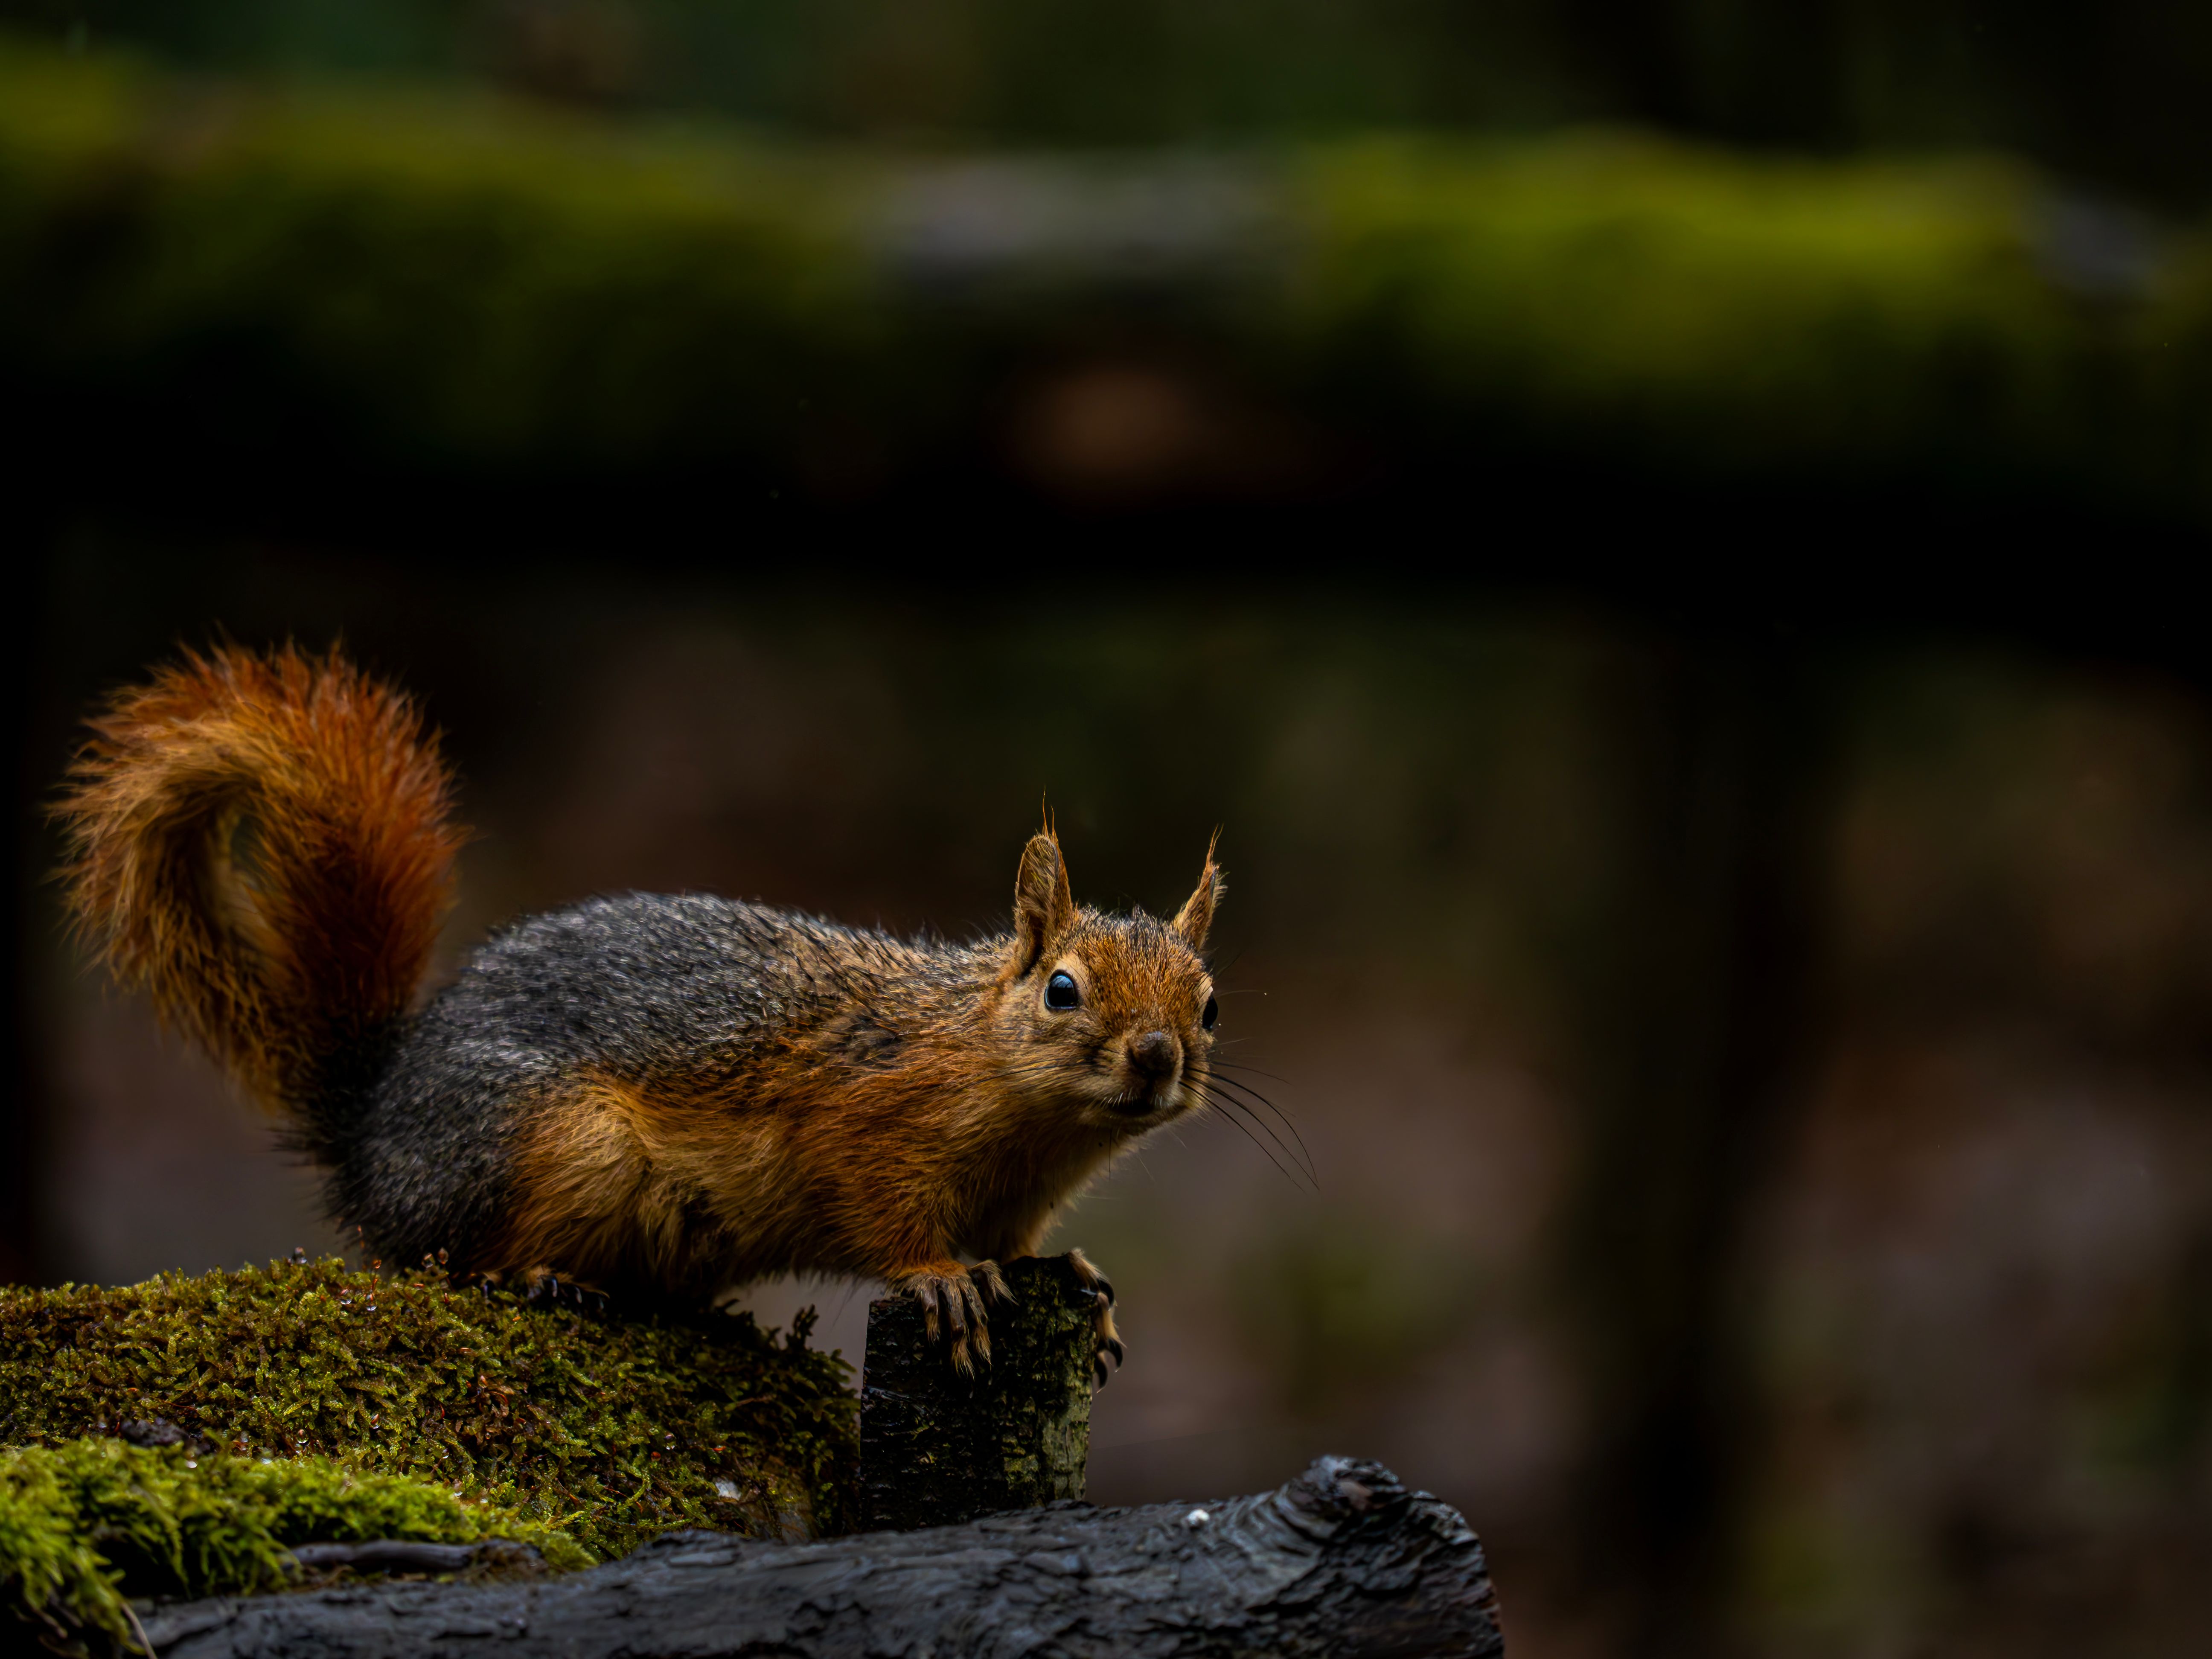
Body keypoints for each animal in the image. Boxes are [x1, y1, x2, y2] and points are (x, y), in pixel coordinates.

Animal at [52, 644, 1228, 1381]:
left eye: (1210, 1005)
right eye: (1062, 989)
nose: (1156, 1057)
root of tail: (374, 1140)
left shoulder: (1014, 1199)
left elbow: (1024, 1248)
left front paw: (1070, 1276)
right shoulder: (864, 1111)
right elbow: (884, 1216)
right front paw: (942, 1281)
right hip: (552, 1146)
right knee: (452, 1258)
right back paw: (541, 1277)